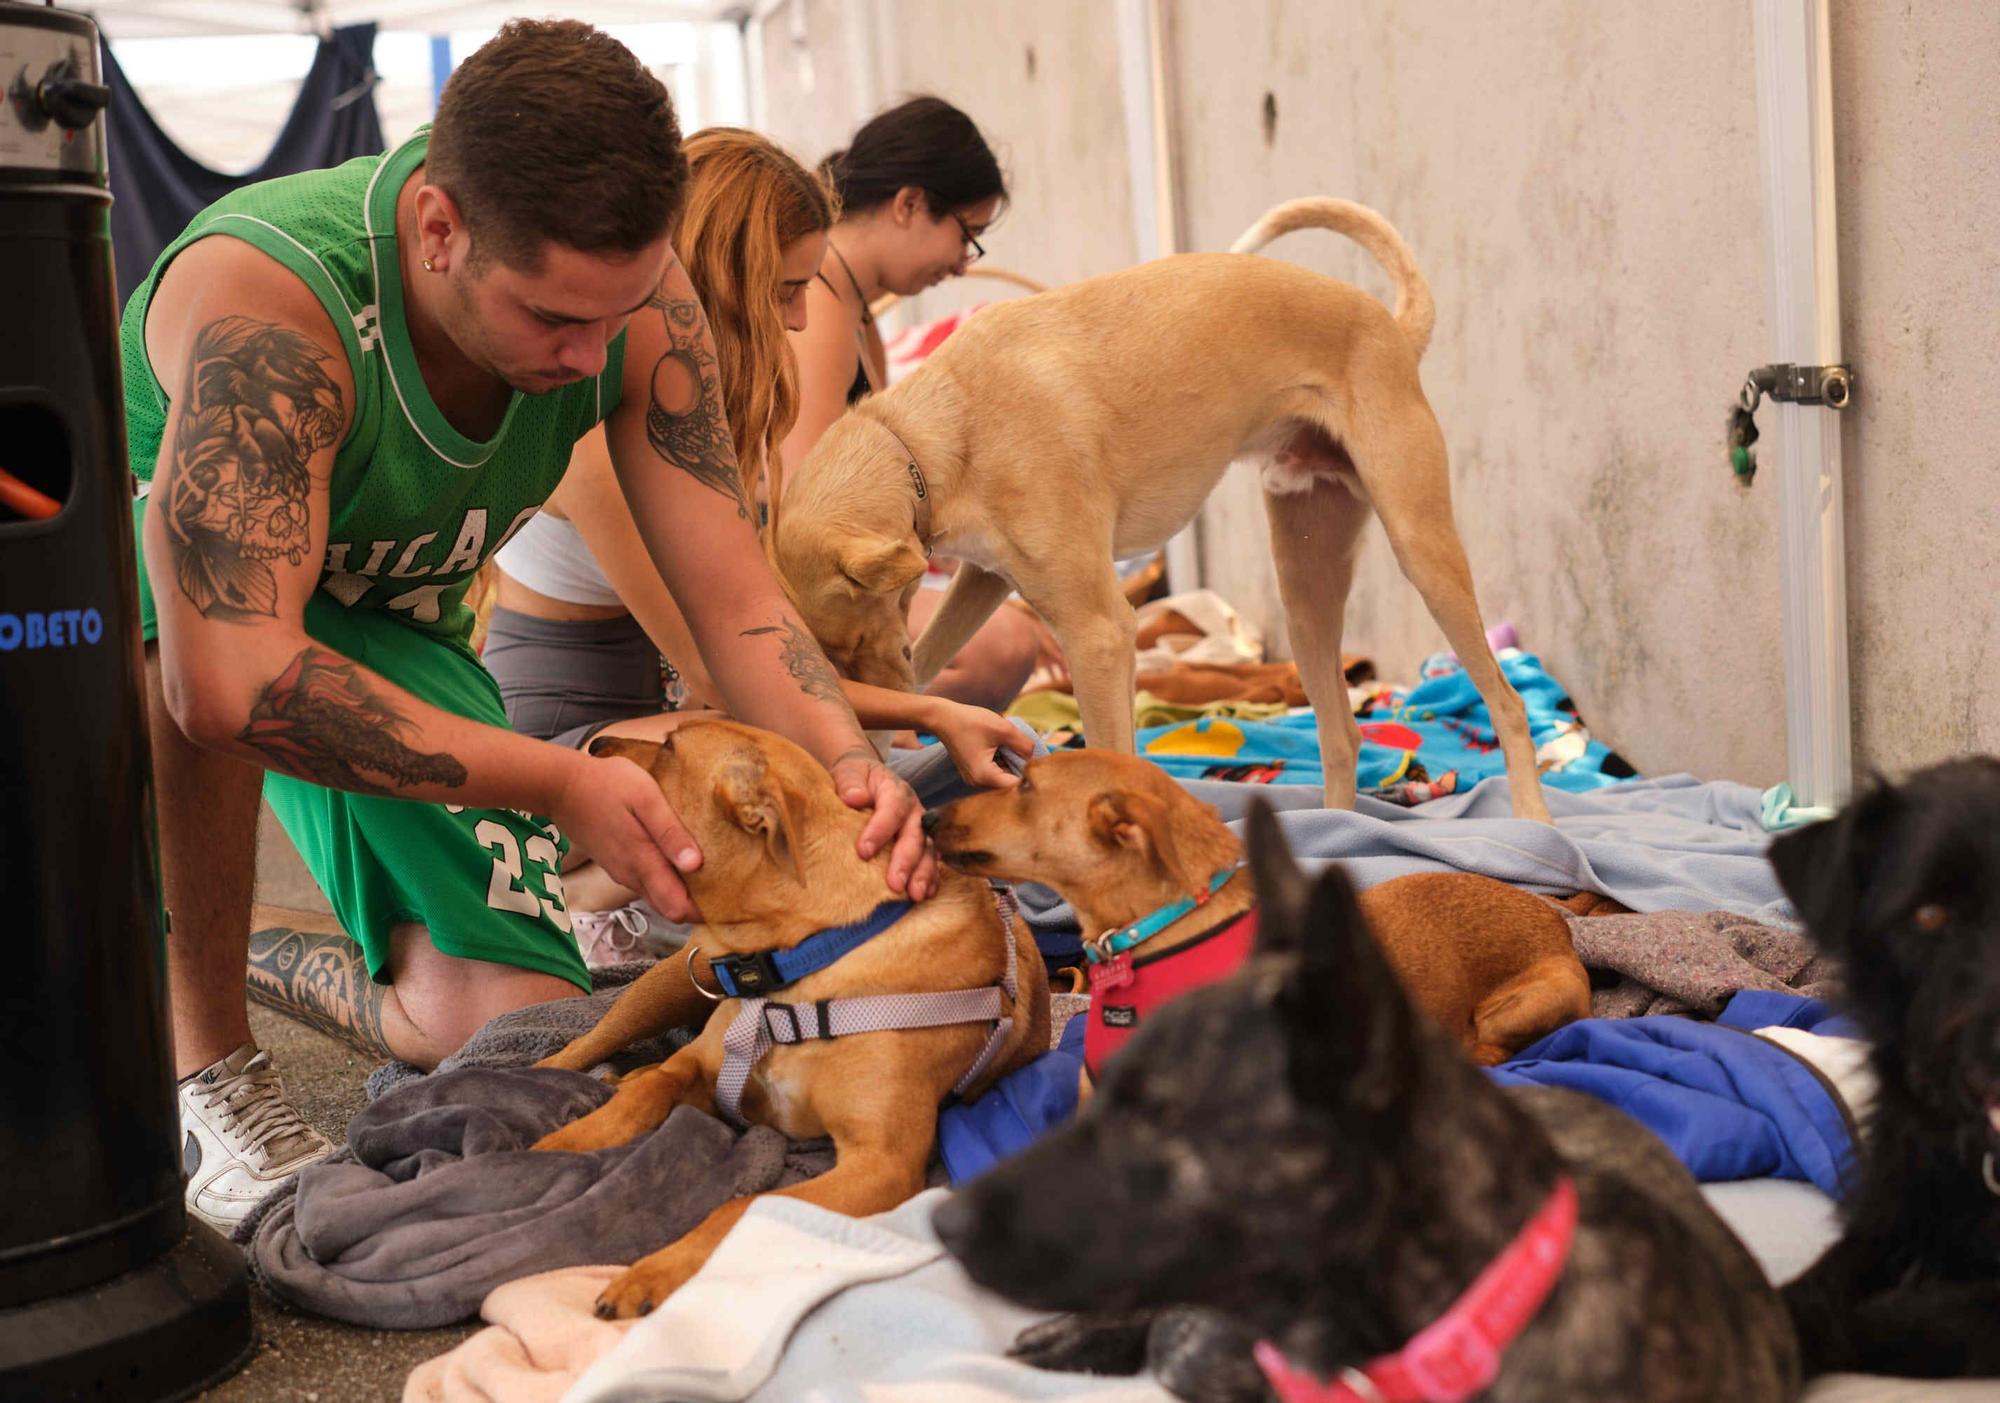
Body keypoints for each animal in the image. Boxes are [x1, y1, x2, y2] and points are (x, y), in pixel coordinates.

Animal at [532, 719, 1064, 1327]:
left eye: (669, 747)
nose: (593, 747)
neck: (799, 964)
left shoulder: (880, 1163)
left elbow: (747, 1204)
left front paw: (657, 1270)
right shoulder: (704, 1063)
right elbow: (656, 1086)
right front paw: (571, 1139)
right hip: (659, 990)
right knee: (583, 1045)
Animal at [772, 197, 1552, 823]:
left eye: (845, 640)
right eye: (829, 654)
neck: (931, 433)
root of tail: (1392, 327)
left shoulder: (1099, 632)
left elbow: (1109, 754)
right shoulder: (987, 580)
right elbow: (934, 658)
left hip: (1422, 549)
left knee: (1508, 703)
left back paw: (1533, 824)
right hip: (1306, 580)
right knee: (1342, 732)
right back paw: (1336, 832)